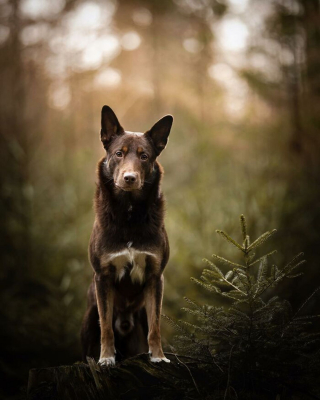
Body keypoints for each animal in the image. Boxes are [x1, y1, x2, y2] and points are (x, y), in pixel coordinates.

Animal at [81, 105, 174, 366]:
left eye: (144, 157)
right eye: (118, 154)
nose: (129, 178)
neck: (129, 214)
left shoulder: (155, 278)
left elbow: (155, 327)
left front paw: (159, 356)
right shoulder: (103, 278)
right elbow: (106, 328)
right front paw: (106, 358)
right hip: (89, 314)